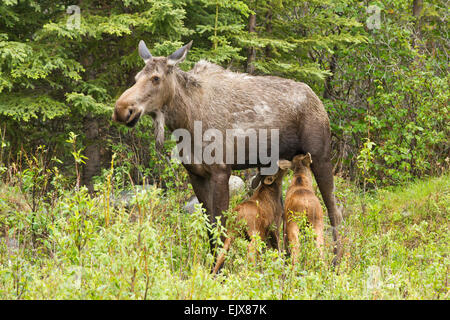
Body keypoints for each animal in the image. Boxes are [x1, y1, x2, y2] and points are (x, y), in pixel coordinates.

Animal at [111, 40, 342, 262]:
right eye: (137, 77)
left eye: (156, 78)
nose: (121, 109)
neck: (186, 121)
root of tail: (318, 100)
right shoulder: (195, 174)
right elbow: (210, 230)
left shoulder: (221, 171)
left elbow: (221, 229)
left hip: (321, 157)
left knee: (334, 213)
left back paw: (336, 263)